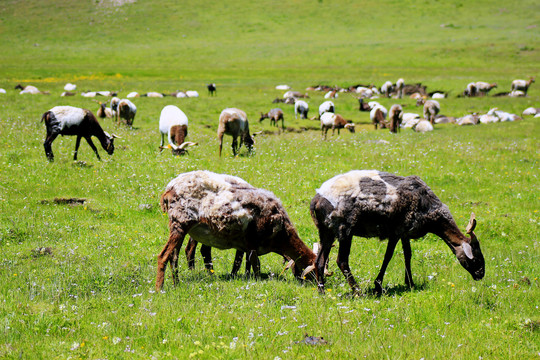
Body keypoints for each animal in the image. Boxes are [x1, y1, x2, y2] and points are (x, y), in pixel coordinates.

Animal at [155, 170, 316, 292]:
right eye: (315, 271)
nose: (318, 286)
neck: (281, 236)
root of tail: (169, 190)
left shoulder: (245, 245)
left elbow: (241, 263)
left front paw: (239, 277)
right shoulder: (252, 242)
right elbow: (255, 264)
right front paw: (255, 280)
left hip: (183, 228)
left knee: (175, 256)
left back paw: (177, 284)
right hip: (180, 222)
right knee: (164, 255)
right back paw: (159, 288)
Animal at [308, 170, 486, 294]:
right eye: (476, 257)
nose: (481, 274)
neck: (431, 213)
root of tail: (316, 200)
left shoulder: (405, 231)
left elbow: (408, 254)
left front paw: (410, 283)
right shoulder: (396, 230)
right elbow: (388, 256)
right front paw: (378, 286)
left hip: (325, 230)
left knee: (319, 260)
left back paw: (322, 291)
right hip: (344, 228)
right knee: (342, 260)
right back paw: (357, 291)